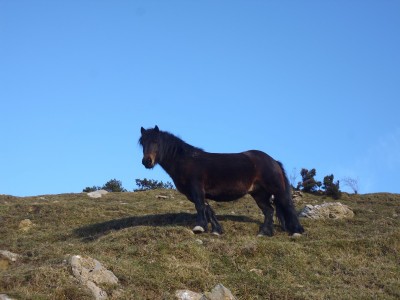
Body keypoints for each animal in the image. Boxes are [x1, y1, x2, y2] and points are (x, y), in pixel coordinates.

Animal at [138, 125, 304, 236]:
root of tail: (273, 161)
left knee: (288, 206)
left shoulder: (197, 189)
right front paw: (217, 230)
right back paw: (264, 233)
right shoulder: (194, 193)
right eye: (142, 143)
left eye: (156, 141)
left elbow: (200, 206)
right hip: (259, 194)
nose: (147, 161)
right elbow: (207, 208)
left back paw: (297, 231)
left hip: (277, 190)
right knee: (269, 211)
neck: (186, 161)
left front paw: (199, 227)